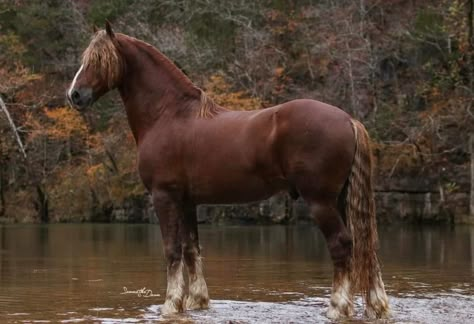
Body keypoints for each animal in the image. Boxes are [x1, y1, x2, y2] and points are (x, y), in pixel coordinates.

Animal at [68, 22, 390, 318]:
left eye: (98, 59)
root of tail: (348, 119)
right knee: (365, 245)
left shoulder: (164, 197)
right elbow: (191, 250)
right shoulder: (187, 202)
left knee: (341, 245)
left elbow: (172, 250)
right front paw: (196, 301)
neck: (168, 115)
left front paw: (171, 305)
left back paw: (337, 308)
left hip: (320, 202)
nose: (74, 95)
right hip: (340, 200)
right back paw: (376, 305)